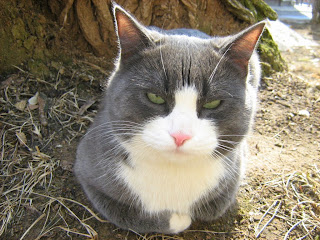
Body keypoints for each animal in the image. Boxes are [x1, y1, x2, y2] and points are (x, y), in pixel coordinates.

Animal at [74, 1, 264, 234]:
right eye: (155, 97)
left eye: (212, 103)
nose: (180, 135)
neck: (172, 171)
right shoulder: (88, 171)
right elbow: (131, 215)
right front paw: (177, 220)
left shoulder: (232, 177)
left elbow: (213, 206)